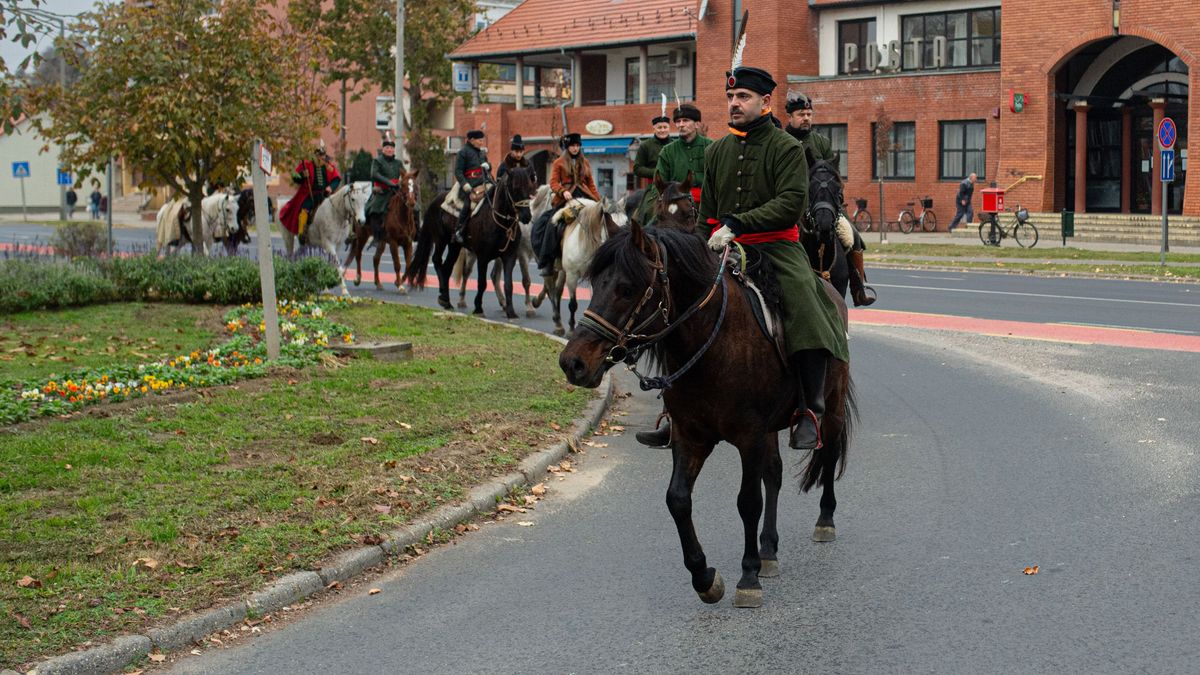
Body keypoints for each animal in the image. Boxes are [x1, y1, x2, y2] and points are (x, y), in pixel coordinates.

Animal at [559, 223, 854, 607]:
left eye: (627, 288)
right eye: (596, 284)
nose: (573, 363)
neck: (714, 341)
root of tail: (830, 290)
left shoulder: (748, 437)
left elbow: (748, 501)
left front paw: (748, 576)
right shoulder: (690, 436)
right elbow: (678, 499)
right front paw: (704, 577)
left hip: (829, 409)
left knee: (828, 455)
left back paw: (824, 520)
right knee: (773, 474)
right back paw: (769, 550)